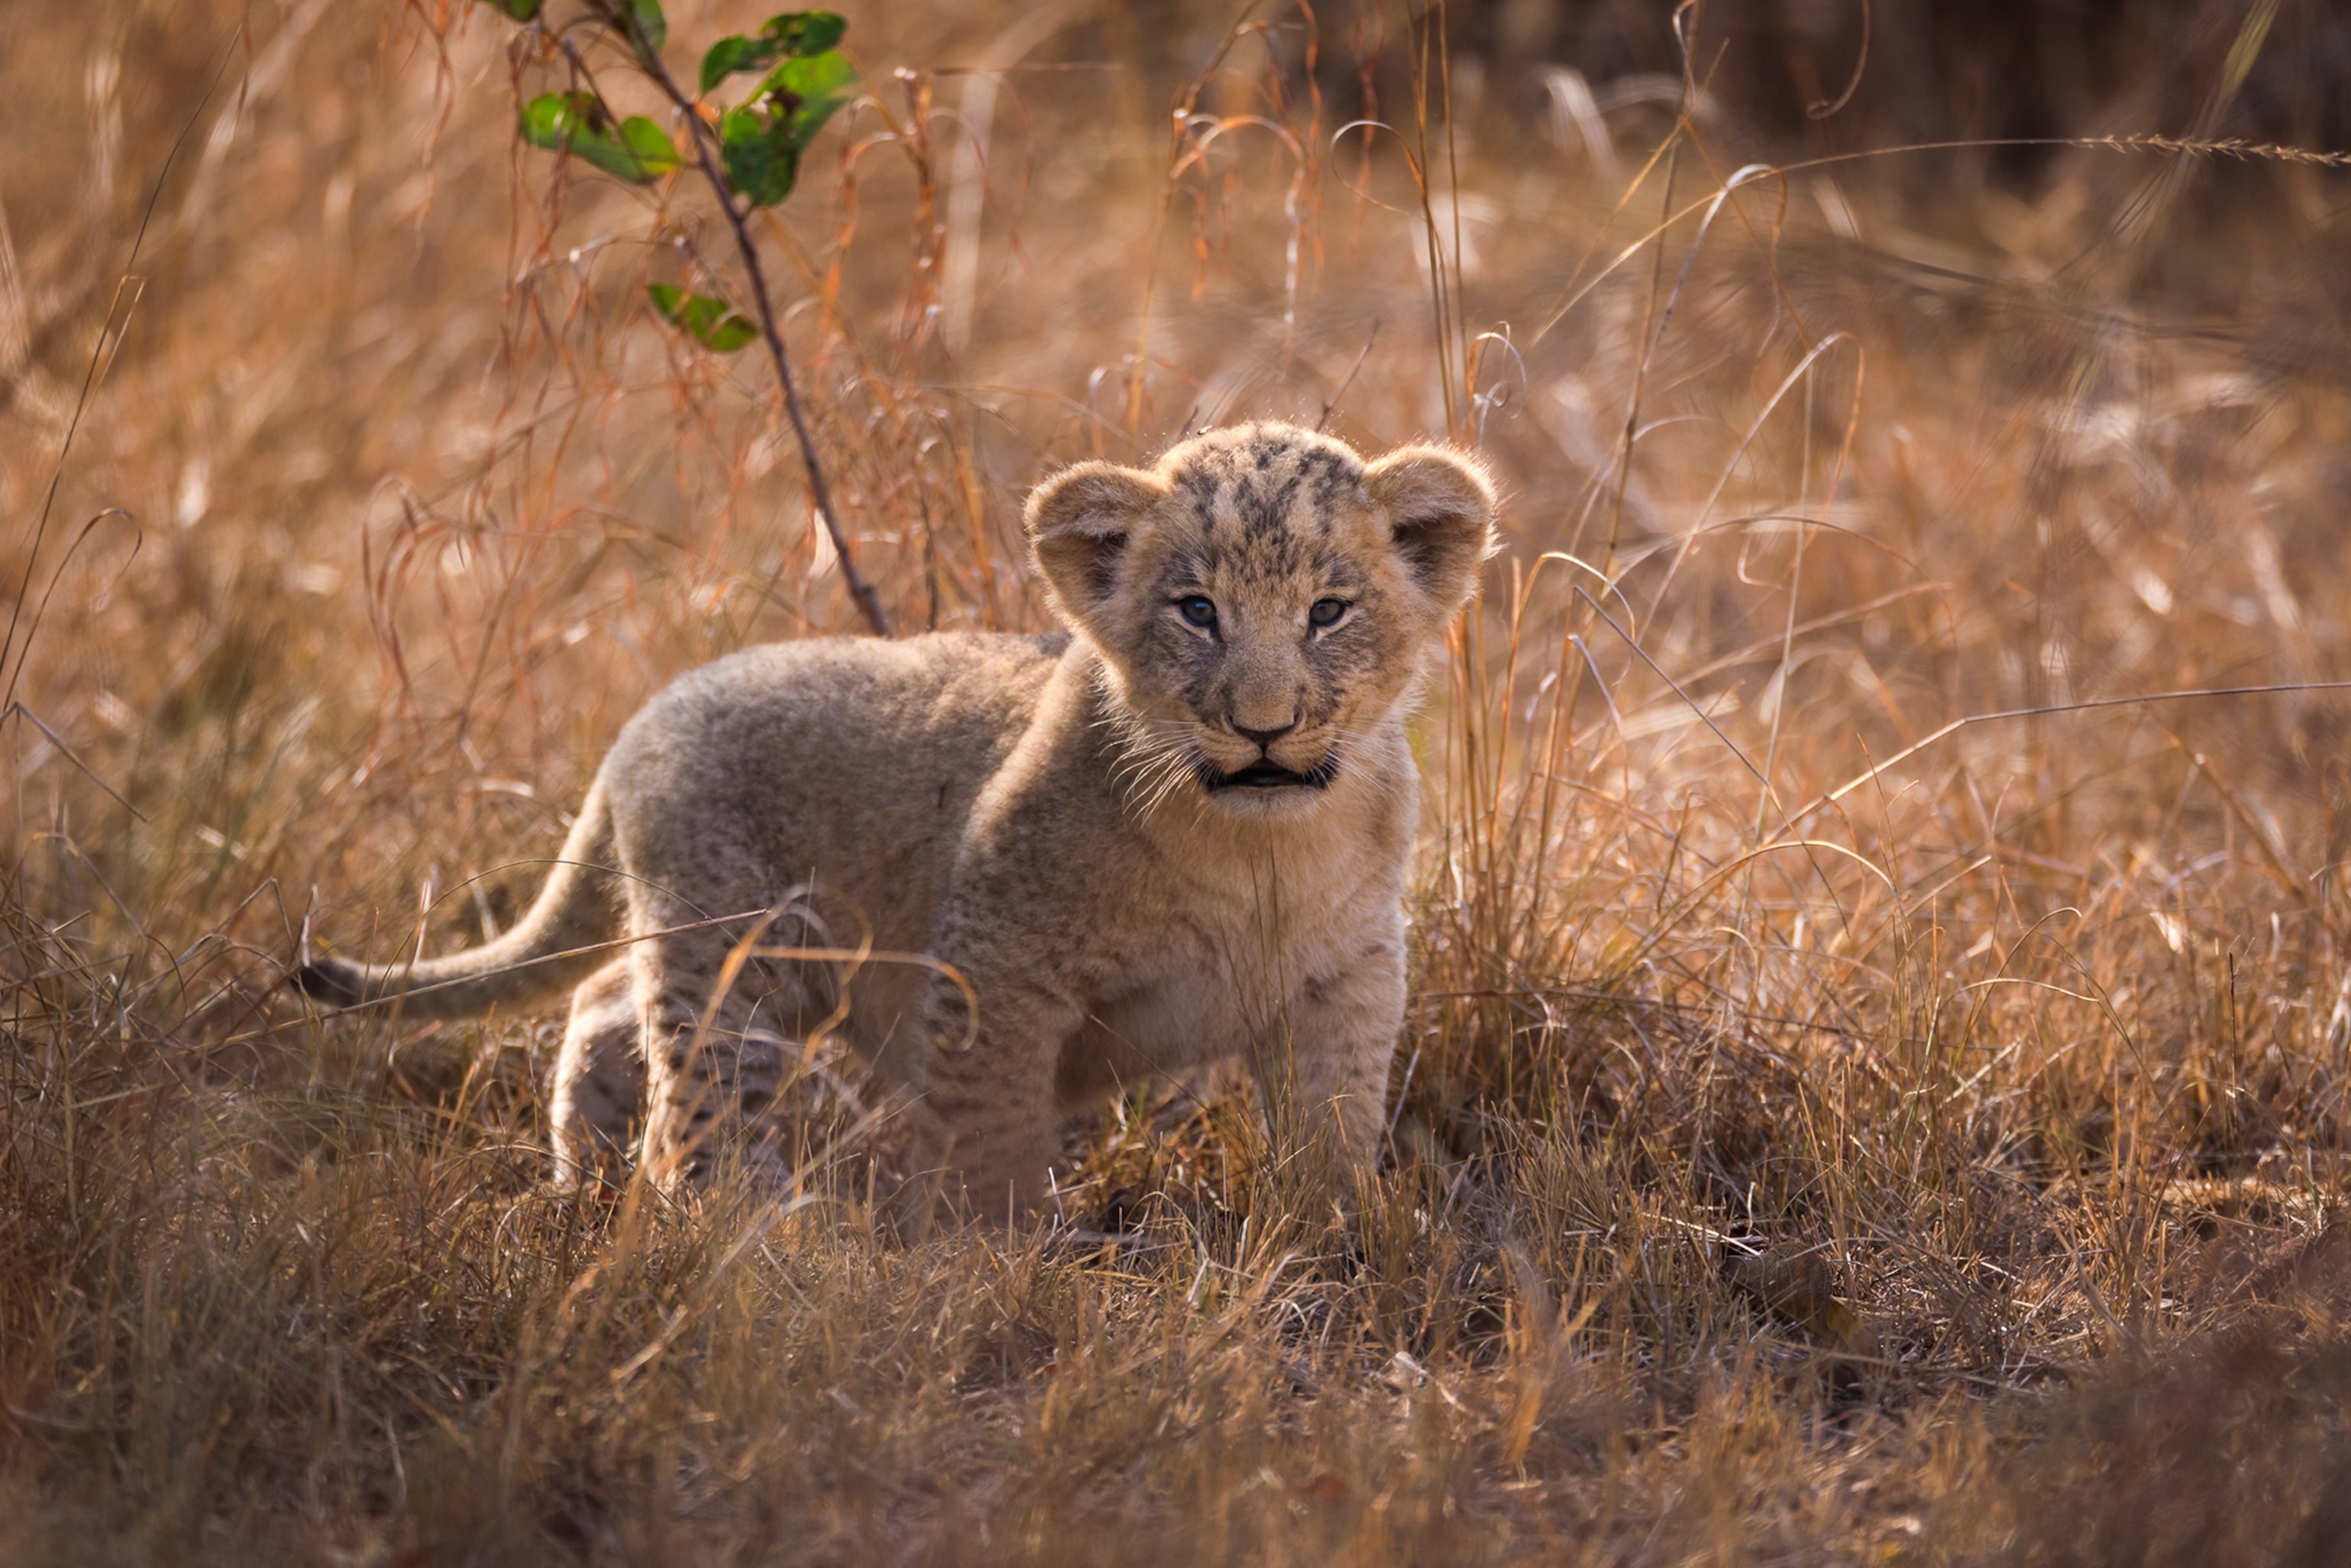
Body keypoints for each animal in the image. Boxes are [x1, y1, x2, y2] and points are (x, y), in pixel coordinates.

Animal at [297, 422, 1496, 1218]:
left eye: (1328, 611)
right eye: (1196, 611)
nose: (1264, 726)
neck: (1258, 849)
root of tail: (648, 712)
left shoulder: (1348, 972)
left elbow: (1336, 1124)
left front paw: (1330, 1244)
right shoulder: (994, 961)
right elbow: (991, 1130)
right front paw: (996, 1258)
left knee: (599, 1007)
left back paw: (587, 1180)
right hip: (732, 948)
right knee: (693, 1105)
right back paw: (755, 1229)